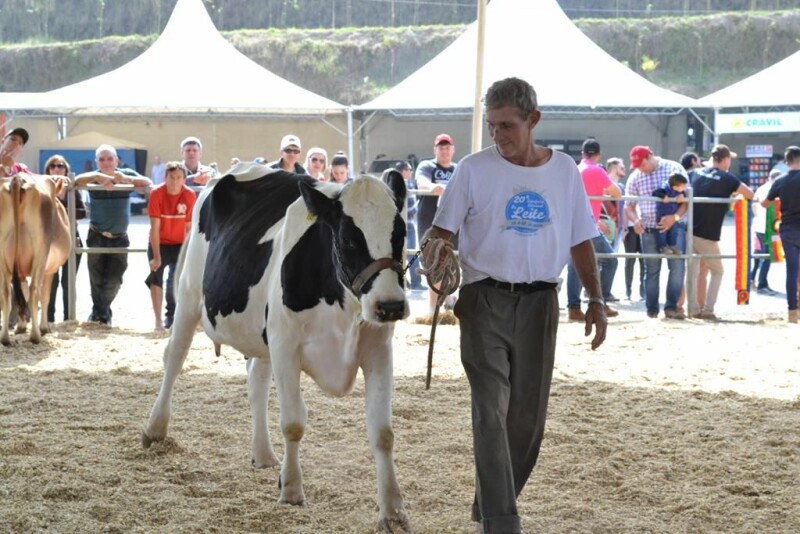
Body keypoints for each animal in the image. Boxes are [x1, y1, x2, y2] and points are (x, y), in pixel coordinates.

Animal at [0, 174, 72, 346]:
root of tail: (18, 178)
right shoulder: (51, 269)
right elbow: (45, 296)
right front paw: (44, 328)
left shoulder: (20, 271)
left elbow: (22, 293)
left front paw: (20, 327)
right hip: (40, 251)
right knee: (34, 291)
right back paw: (36, 336)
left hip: (2, 256)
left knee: (6, 293)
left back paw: (4, 337)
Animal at [141, 163, 412, 532]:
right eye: (348, 238)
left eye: (401, 233)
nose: (390, 305)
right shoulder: (286, 346)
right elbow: (293, 422)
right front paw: (292, 489)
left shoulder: (378, 352)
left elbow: (383, 432)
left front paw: (393, 509)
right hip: (189, 294)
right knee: (174, 357)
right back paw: (155, 429)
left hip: (261, 335)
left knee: (255, 380)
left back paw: (264, 454)